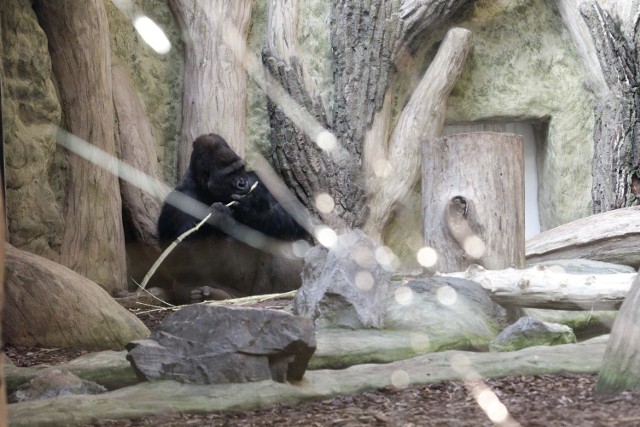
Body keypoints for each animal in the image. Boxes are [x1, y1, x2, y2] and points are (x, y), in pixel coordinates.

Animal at [159, 134, 312, 304]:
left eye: (240, 169)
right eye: (229, 174)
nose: (242, 183)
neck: (205, 188)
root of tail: (245, 297)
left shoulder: (256, 178)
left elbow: (294, 216)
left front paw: (252, 209)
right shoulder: (177, 199)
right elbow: (174, 257)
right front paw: (217, 220)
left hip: (259, 289)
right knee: (184, 282)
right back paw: (212, 295)